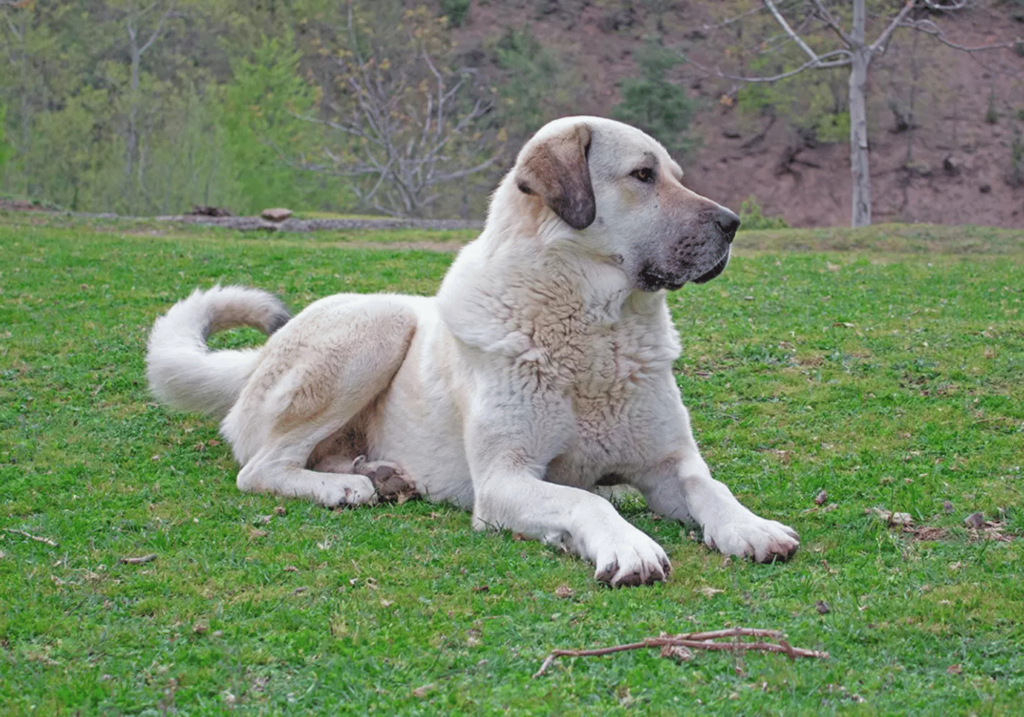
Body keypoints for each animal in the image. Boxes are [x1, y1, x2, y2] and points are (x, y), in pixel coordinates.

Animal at [146, 116, 798, 589]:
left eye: (674, 175)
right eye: (642, 175)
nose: (733, 223)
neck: (596, 333)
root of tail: (257, 360)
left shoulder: (668, 465)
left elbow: (711, 488)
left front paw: (749, 527)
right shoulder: (504, 479)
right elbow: (587, 502)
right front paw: (629, 545)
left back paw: (378, 474)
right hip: (380, 323)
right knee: (261, 467)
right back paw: (344, 488)